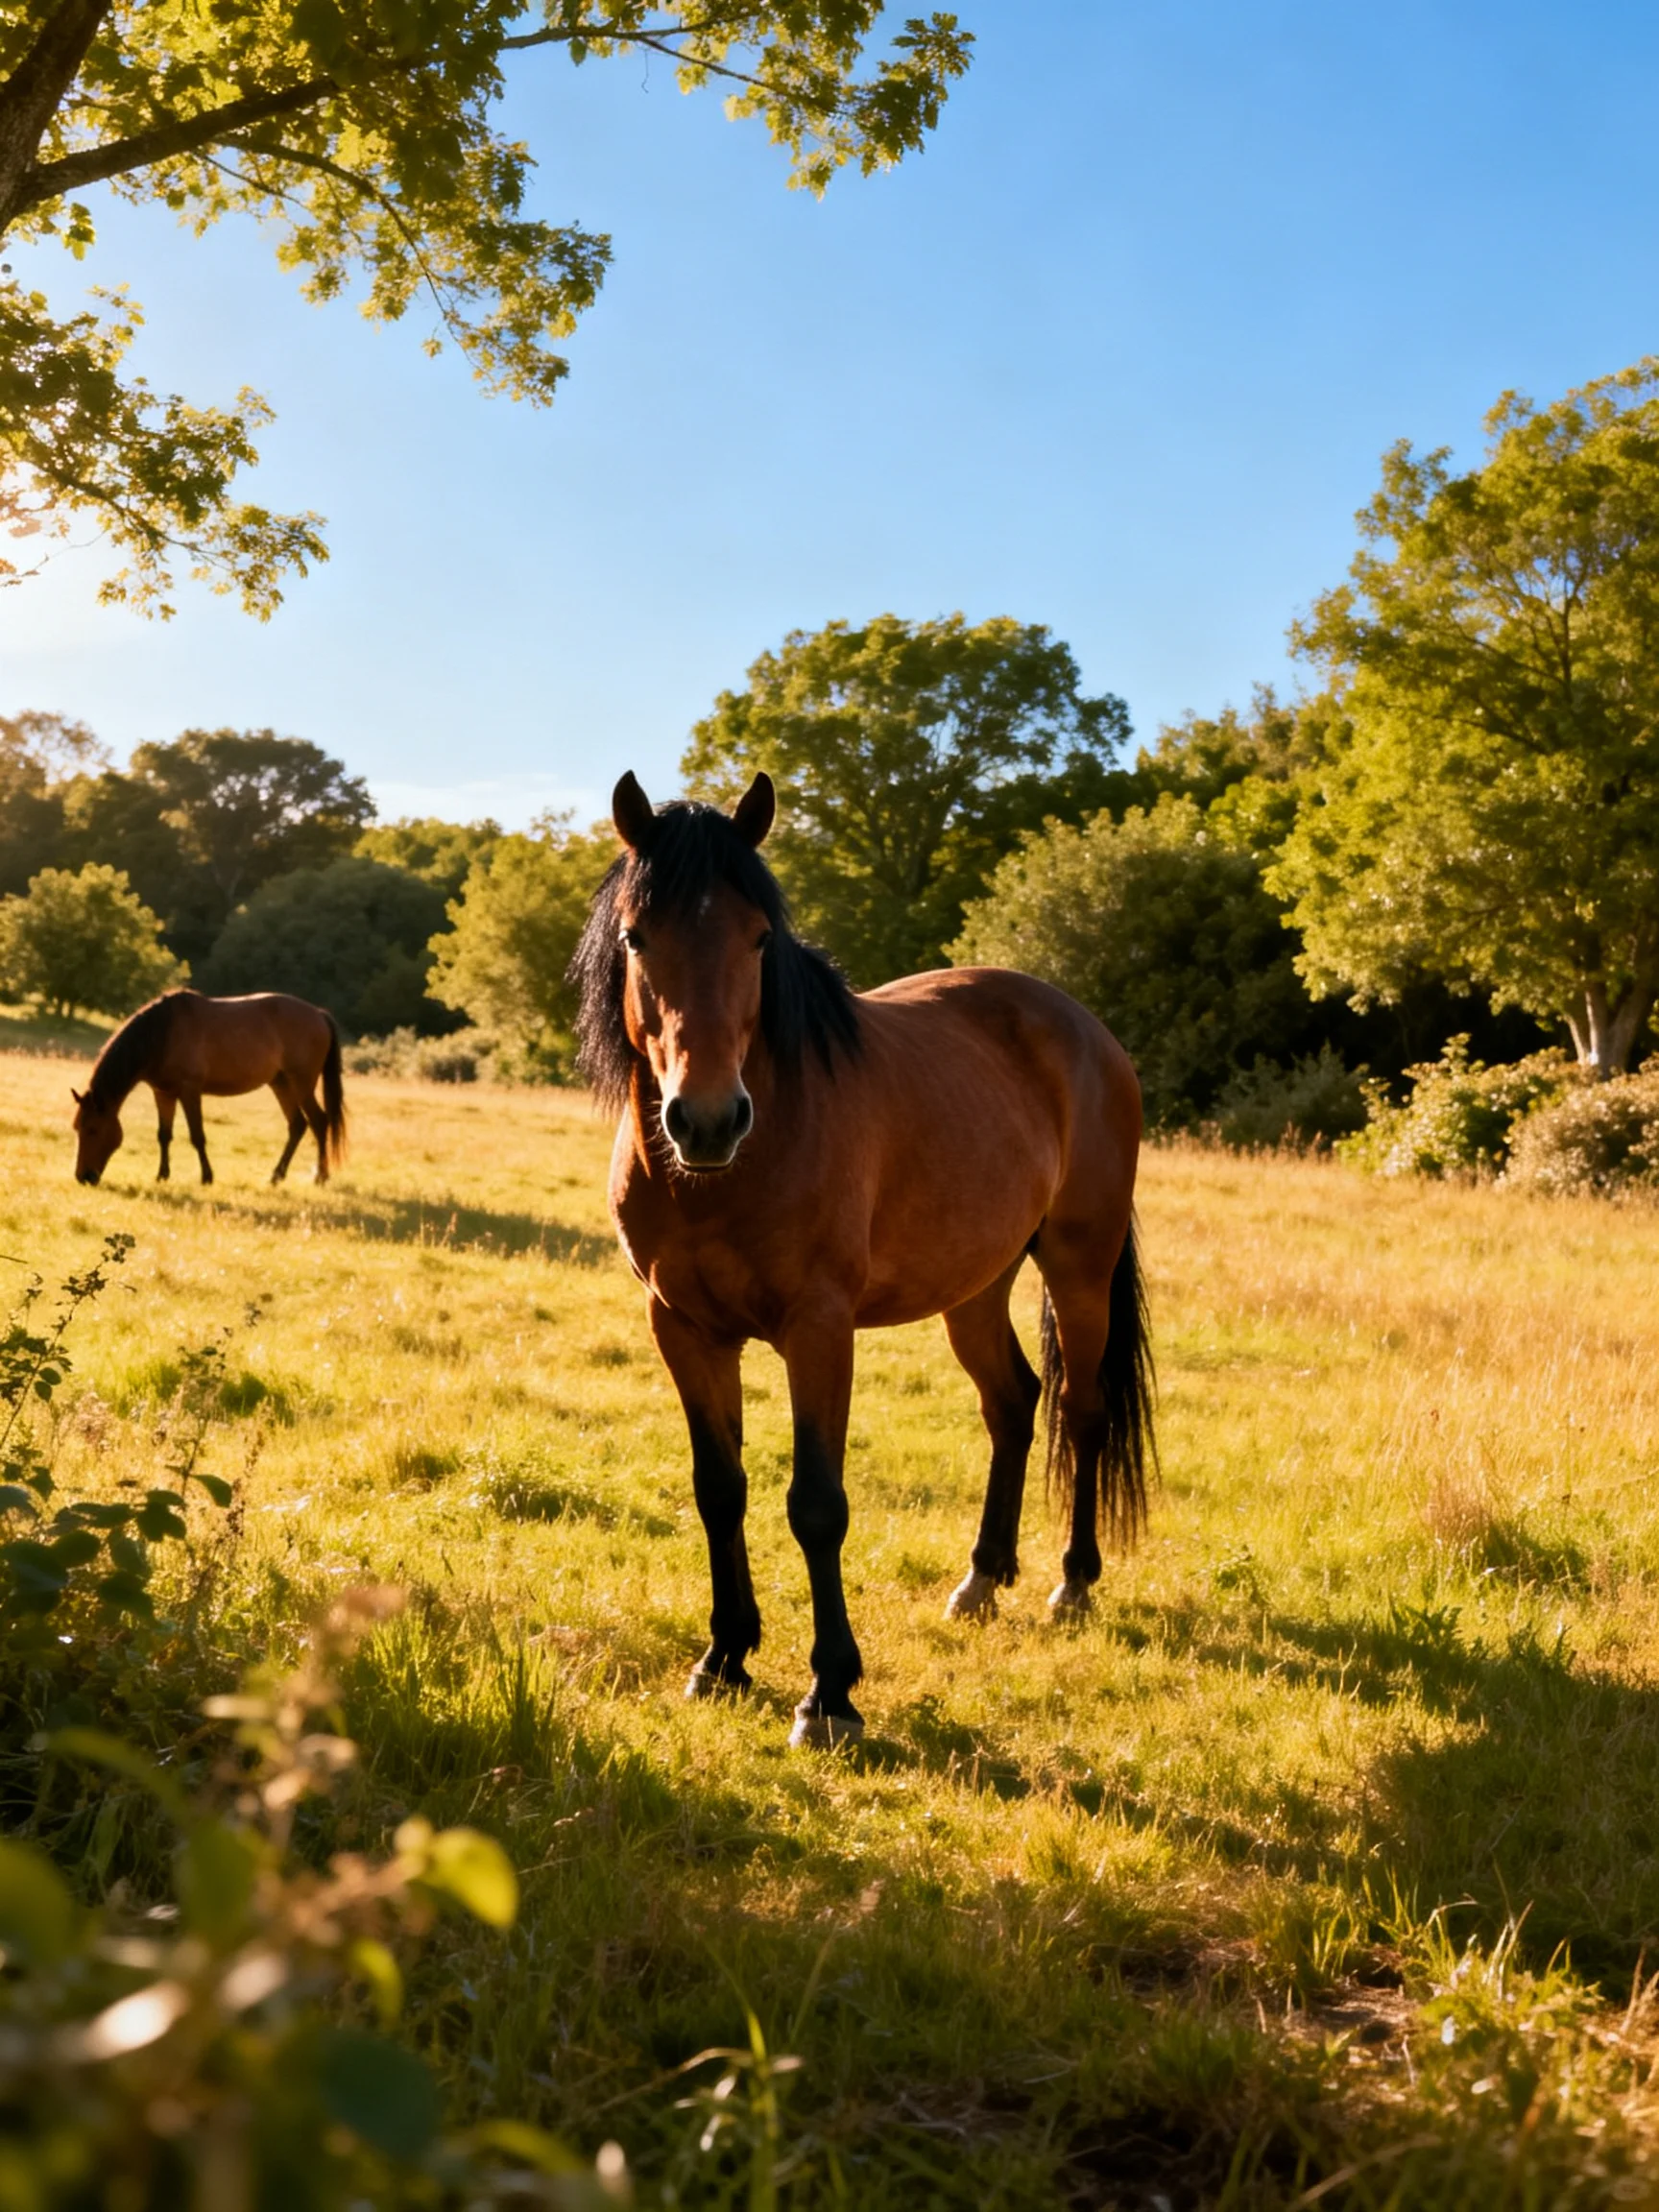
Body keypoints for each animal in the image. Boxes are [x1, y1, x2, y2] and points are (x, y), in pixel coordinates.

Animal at [71, 990, 346, 1188]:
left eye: (93, 1130)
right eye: (77, 1129)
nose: (83, 1177)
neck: (162, 1035)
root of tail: (319, 1014)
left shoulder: (190, 1091)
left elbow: (197, 1136)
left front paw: (206, 1177)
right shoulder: (164, 1093)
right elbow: (164, 1135)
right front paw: (162, 1175)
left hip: (302, 1083)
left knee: (319, 1122)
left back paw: (320, 1176)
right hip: (281, 1083)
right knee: (298, 1125)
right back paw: (277, 1176)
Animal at [571, 770, 1155, 1749]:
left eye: (759, 937)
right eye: (636, 936)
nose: (708, 1119)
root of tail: (1087, 1030)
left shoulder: (819, 1329)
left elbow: (816, 1504)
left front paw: (829, 1695)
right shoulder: (683, 1328)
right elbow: (719, 1488)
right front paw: (724, 1657)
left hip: (1080, 1267)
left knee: (1082, 1409)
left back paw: (1071, 1582)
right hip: (975, 1286)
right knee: (1013, 1402)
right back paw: (982, 1577)